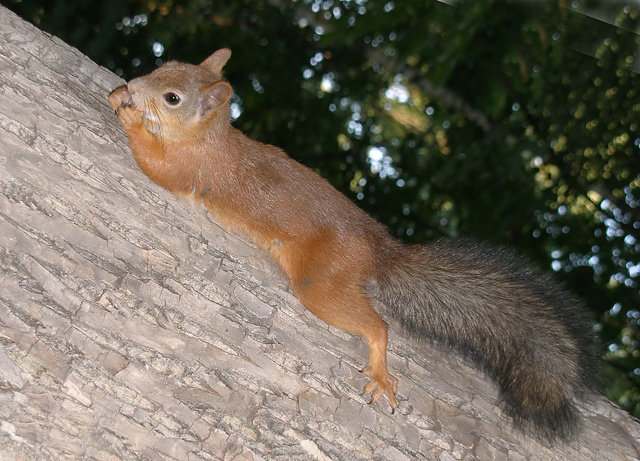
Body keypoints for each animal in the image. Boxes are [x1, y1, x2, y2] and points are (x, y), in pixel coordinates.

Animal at [108, 48, 598, 441]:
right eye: (164, 66)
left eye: (173, 98)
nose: (133, 84)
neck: (211, 138)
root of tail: (379, 250)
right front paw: (118, 97)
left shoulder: (191, 170)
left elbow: (157, 166)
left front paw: (129, 116)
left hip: (321, 281)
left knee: (377, 325)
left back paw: (380, 369)